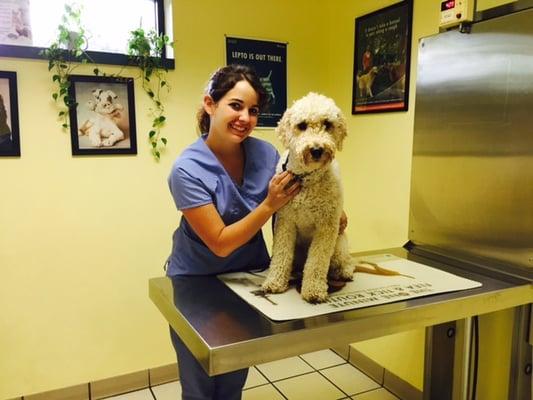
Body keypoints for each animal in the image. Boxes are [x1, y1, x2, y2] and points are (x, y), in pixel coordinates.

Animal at [260, 92, 354, 302]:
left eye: (327, 124)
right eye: (302, 125)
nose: (317, 149)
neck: (306, 180)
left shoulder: (327, 226)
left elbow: (317, 260)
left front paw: (313, 290)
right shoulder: (285, 222)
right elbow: (281, 254)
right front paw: (275, 282)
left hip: (339, 242)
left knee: (344, 260)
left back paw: (344, 271)